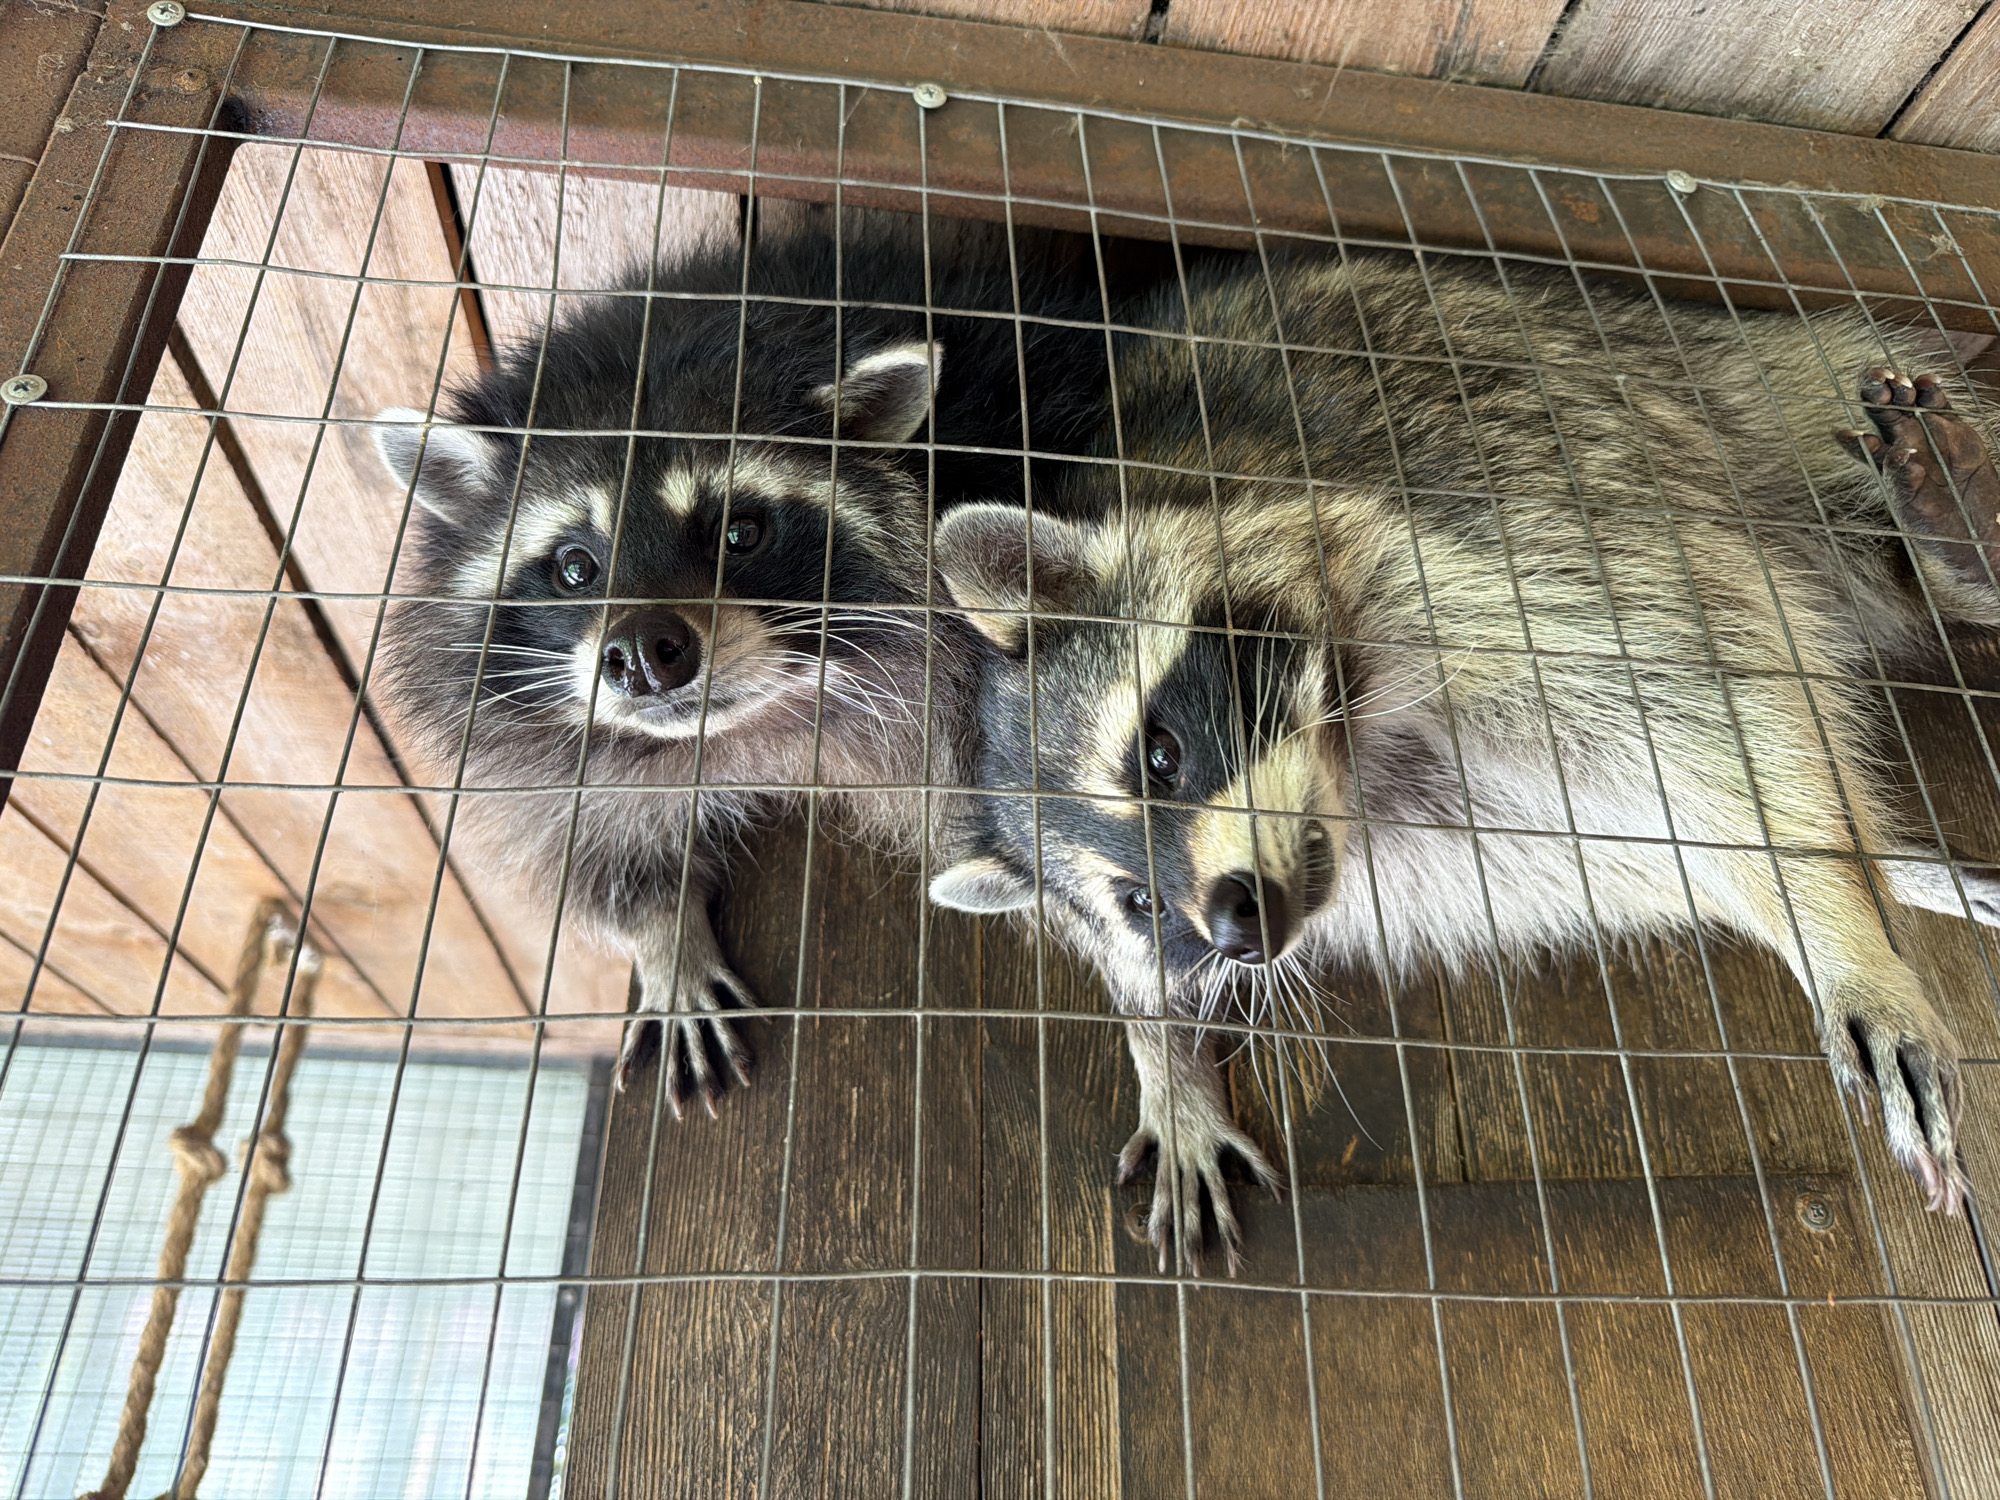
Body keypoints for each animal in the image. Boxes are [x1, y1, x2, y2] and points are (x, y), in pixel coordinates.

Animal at [372, 209, 1114, 1114]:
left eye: (739, 532)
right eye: (575, 565)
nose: (645, 653)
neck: (752, 726)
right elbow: (591, 845)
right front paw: (662, 933)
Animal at [929, 251, 2000, 1272]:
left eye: (1159, 755)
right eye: (1138, 902)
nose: (1236, 923)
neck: (1352, 772)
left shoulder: (1472, 564)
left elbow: (1722, 711)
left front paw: (1837, 926)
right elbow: (1656, 849)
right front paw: (1167, 1053)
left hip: (1746, 400)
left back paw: (1949, 543)